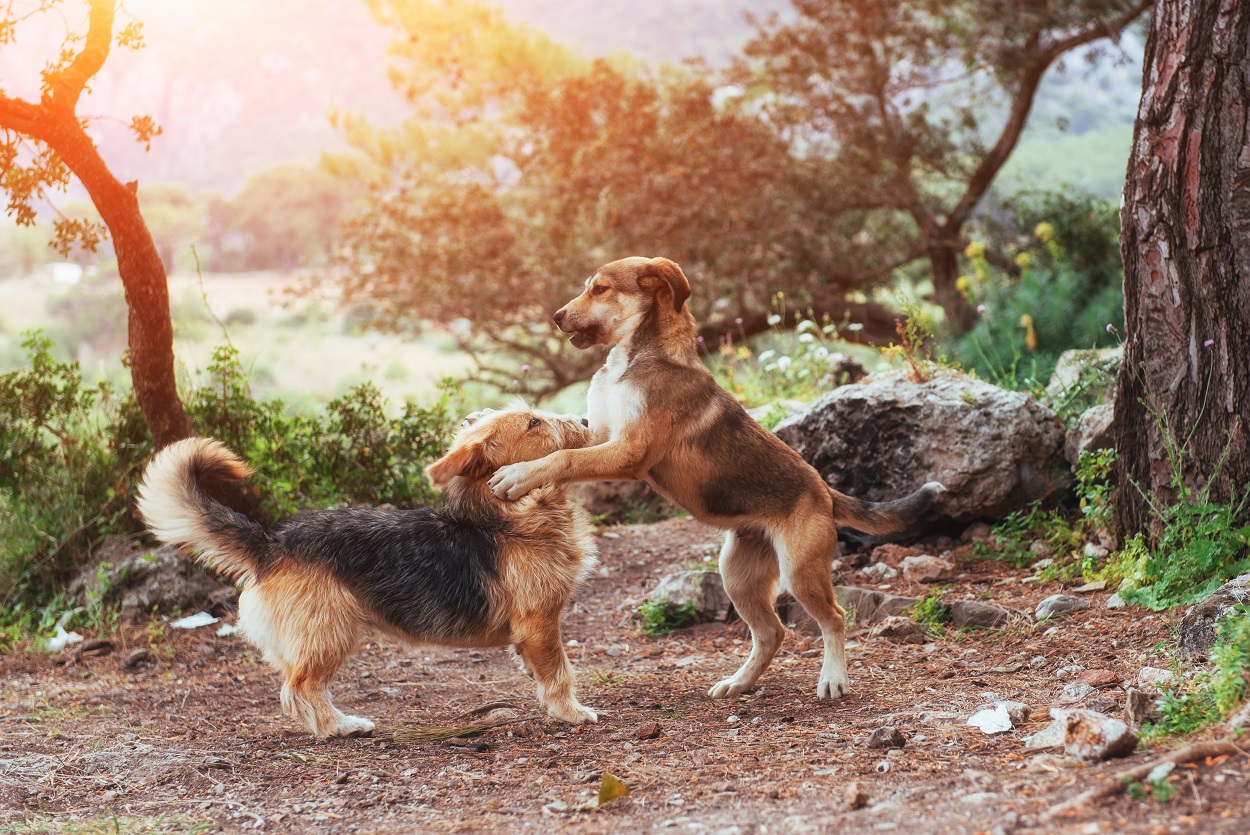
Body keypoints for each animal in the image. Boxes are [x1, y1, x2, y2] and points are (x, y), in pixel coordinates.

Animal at [492, 257, 940, 700]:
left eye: (600, 289)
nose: (556, 316)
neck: (635, 359)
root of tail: (824, 491)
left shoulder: (628, 451)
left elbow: (564, 458)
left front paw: (516, 475)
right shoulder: (600, 435)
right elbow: (562, 448)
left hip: (800, 572)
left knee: (835, 617)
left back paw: (833, 679)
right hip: (737, 576)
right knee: (772, 632)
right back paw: (739, 682)